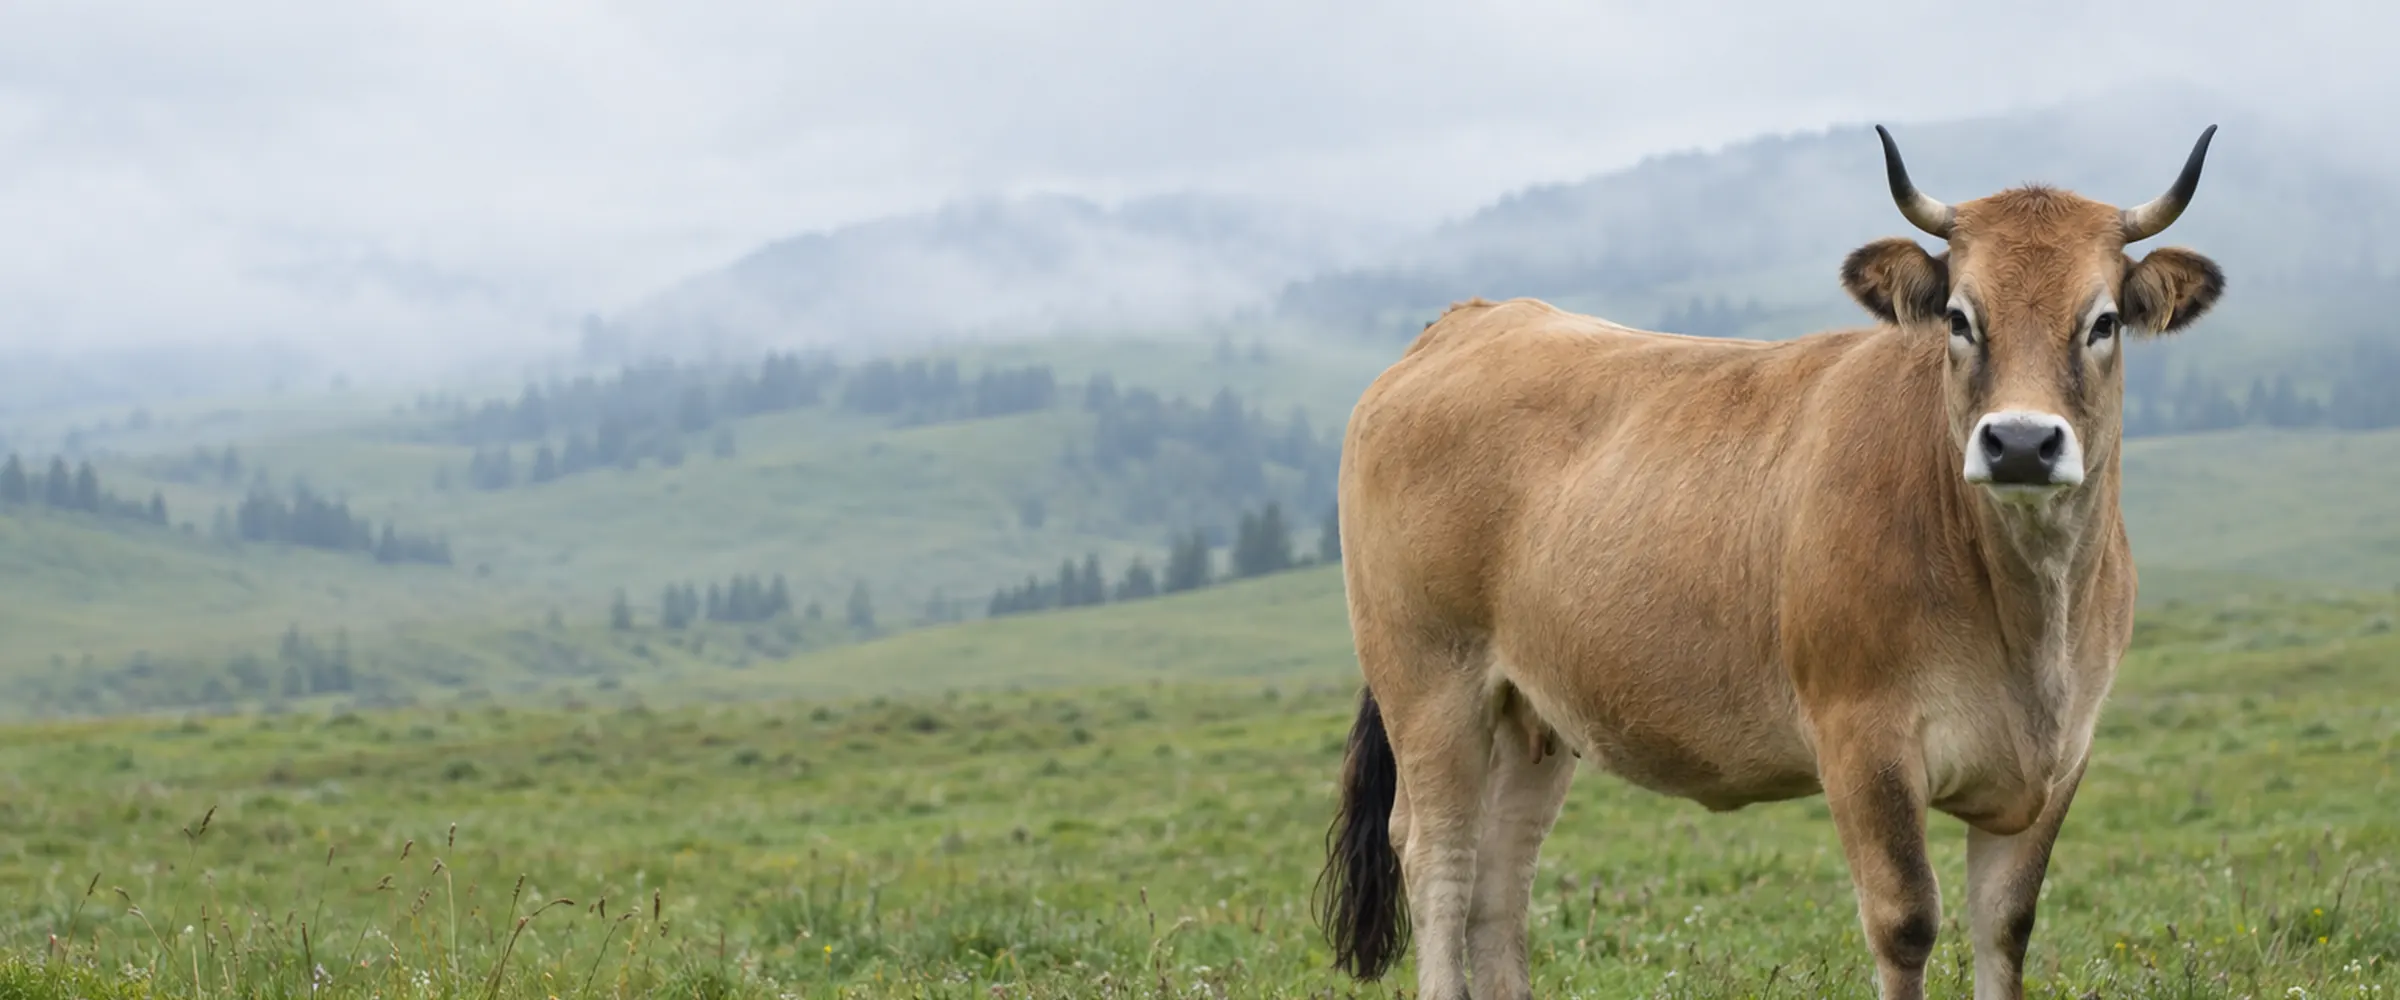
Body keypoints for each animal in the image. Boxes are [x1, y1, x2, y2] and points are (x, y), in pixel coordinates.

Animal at [1314, 125, 2223, 1000]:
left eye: (2102, 321)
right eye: (1961, 318)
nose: (2023, 443)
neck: (2026, 615)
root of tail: (1469, 319)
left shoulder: (2058, 758)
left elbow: (2007, 928)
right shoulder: (1863, 743)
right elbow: (1906, 923)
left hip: (1532, 710)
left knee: (1502, 875)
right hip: (1428, 683)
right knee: (1438, 858)